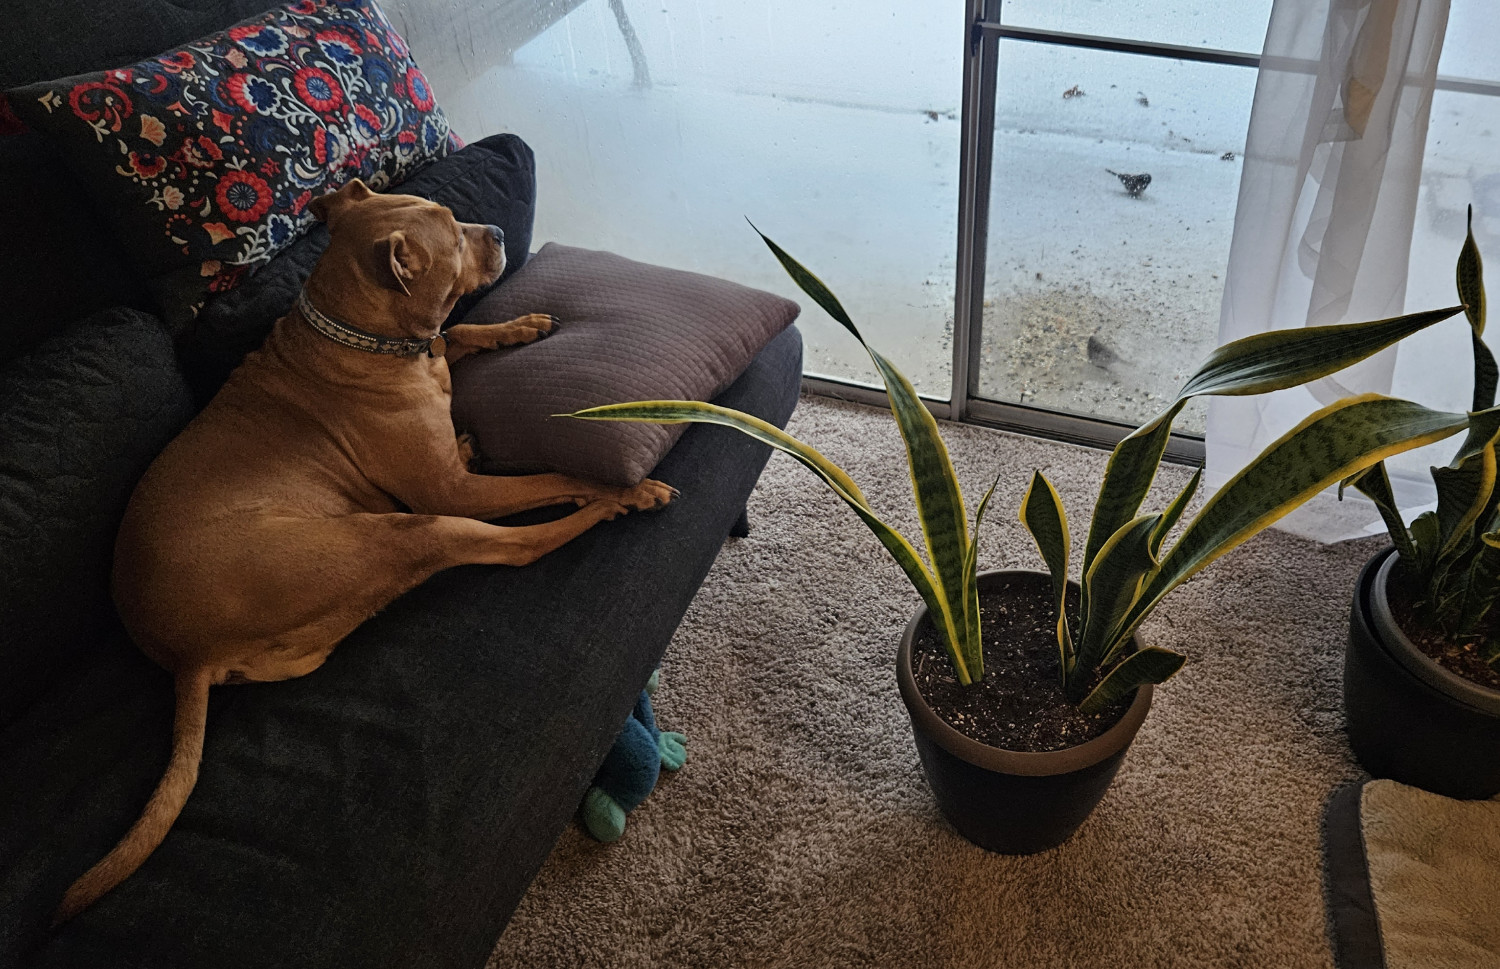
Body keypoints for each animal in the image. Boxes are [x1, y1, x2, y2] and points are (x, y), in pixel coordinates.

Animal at [52, 182, 675, 924]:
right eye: (454, 238)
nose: (496, 232)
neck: (367, 337)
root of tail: (184, 655)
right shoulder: (452, 489)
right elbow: (547, 475)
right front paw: (613, 485)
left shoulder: (436, 360)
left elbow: (459, 333)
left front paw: (519, 326)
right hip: (407, 530)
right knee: (518, 544)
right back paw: (609, 502)